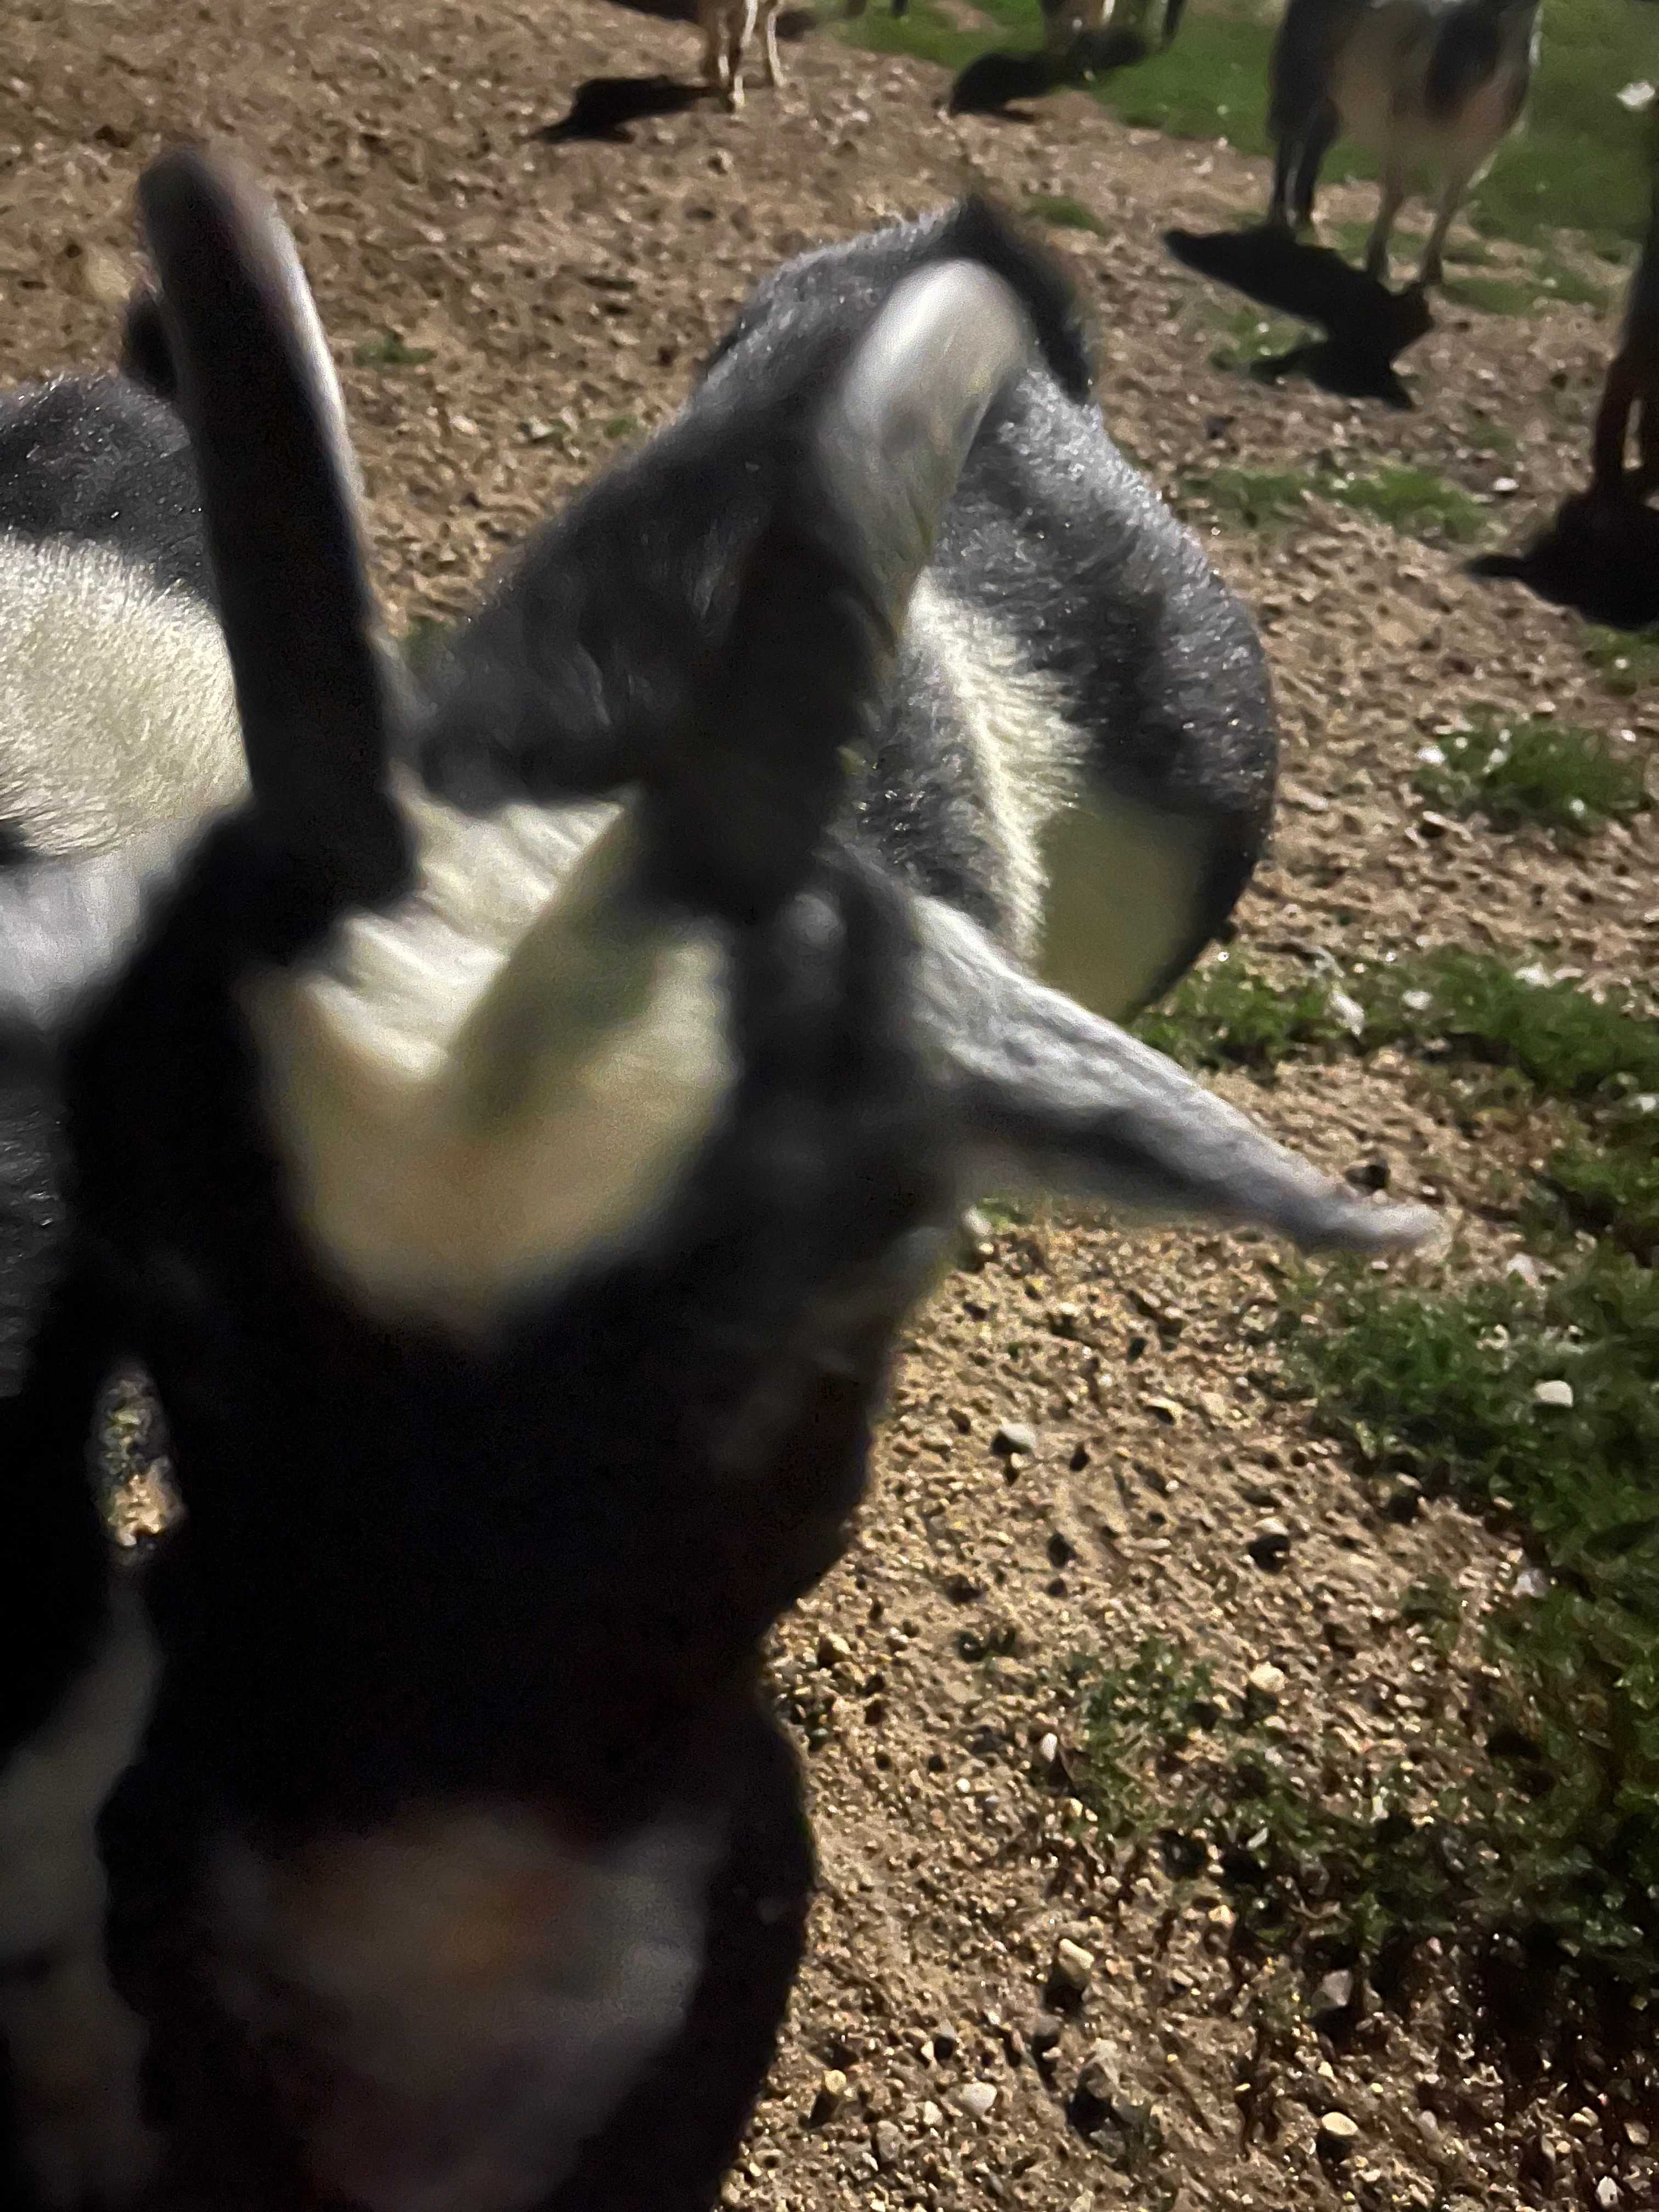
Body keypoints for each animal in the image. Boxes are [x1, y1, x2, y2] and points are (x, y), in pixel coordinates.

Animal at [1267, 0, 1540, 287]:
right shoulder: (1403, 138)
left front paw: (1432, 271)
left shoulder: (1473, 155)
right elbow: (1397, 196)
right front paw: (1377, 262)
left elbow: (1450, 205)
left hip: (1335, 102)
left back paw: (1307, 221)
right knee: (1290, 141)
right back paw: (1280, 218)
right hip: (1303, 75)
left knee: (1313, 147)